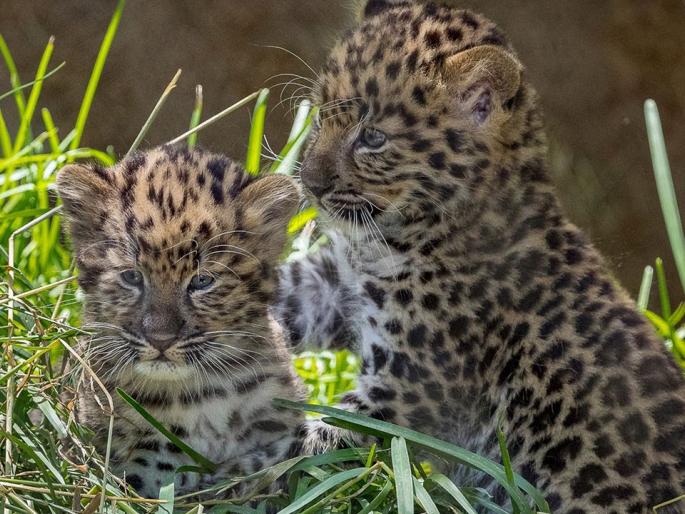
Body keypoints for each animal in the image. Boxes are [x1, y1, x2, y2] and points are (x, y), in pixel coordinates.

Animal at [273, 1, 685, 512]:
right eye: (320, 115)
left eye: (373, 138)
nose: (308, 182)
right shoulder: (335, 284)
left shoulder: (410, 392)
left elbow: (318, 438)